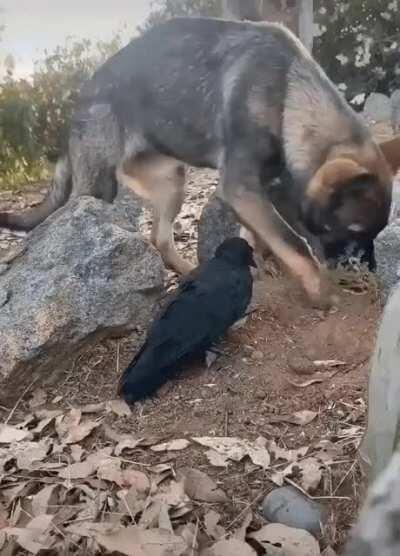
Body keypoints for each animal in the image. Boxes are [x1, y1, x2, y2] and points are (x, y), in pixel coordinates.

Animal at [1, 17, 398, 306]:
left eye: (374, 234)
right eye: (351, 231)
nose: (367, 273)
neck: (290, 91)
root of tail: (77, 103)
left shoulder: (265, 188)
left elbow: (267, 234)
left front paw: (259, 263)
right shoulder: (241, 187)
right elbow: (293, 241)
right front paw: (320, 291)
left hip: (171, 179)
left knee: (160, 238)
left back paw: (190, 271)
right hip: (98, 188)